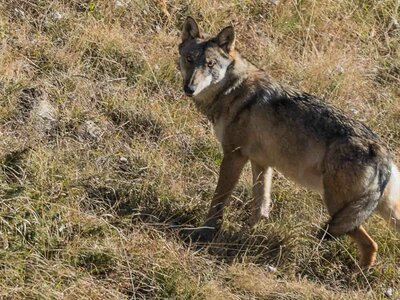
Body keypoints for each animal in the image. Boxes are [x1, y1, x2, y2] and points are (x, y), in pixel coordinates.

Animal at [178, 15, 400, 268]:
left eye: (210, 64)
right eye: (189, 59)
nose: (189, 88)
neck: (232, 90)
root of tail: (381, 151)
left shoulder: (233, 156)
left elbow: (218, 199)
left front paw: (204, 232)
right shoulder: (262, 163)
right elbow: (260, 205)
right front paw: (248, 234)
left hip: (335, 206)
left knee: (370, 244)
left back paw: (356, 272)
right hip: (377, 210)